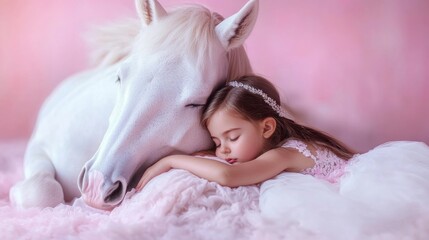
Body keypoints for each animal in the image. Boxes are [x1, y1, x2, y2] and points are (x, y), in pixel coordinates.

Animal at [10, 0, 258, 210]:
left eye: (197, 103)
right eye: (120, 77)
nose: (95, 185)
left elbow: (43, 192)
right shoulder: (38, 145)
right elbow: (43, 191)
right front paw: (14, 192)